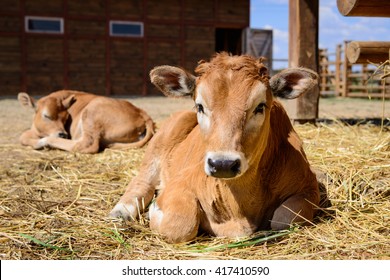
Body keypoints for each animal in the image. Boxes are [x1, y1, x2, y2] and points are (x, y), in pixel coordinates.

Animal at [18, 90, 155, 153]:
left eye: (66, 118)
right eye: (46, 116)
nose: (63, 134)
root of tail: (140, 111)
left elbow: (23, 136)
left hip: (91, 113)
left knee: (86, 145)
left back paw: (44, 143)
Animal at [109, 53, 320, 243]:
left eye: (260, 107)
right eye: (200, 106)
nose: (223, 164)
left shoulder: (309, 187)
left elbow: (283, 220)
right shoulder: (181, 182)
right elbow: (180, 225)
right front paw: (154, 209)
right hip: (158, 145)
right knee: (142, 182)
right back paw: (121, 211)